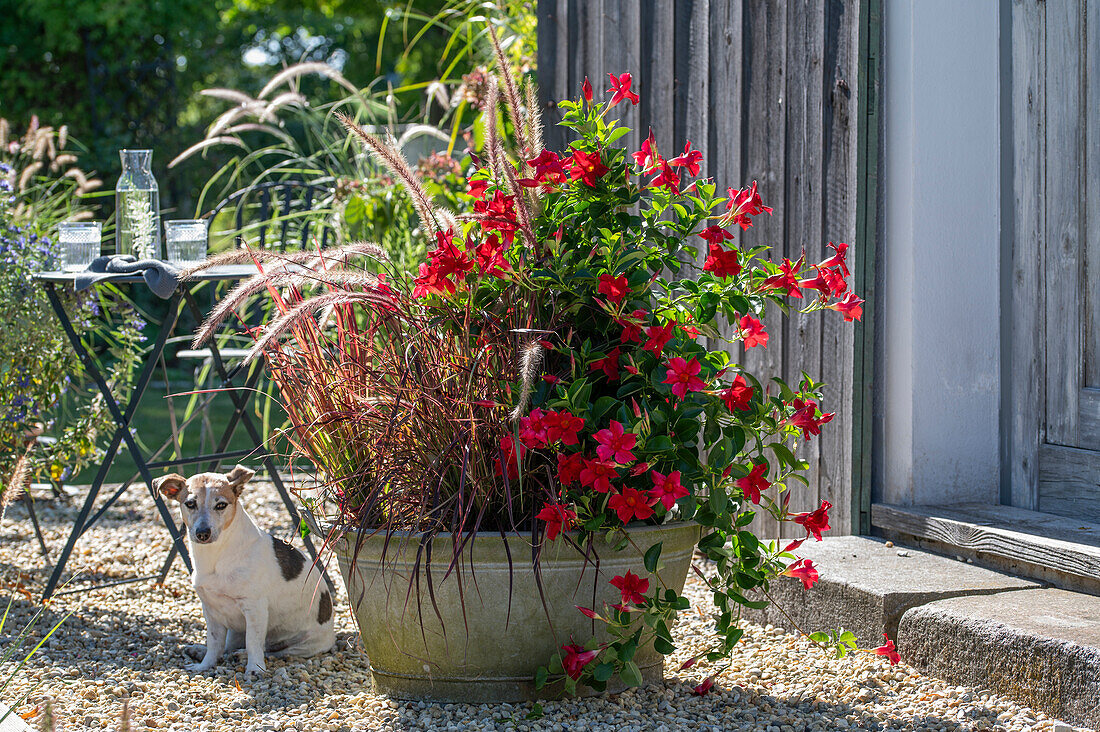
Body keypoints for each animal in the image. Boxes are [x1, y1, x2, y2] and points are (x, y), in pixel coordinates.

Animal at [154, 464, 334, 678]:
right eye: (190, 503)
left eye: (221, 505)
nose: (202, 533)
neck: (216, 557)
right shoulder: (211, 611)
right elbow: (214, 643)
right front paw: (205, 665)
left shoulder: (254, 608)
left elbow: (253, 642)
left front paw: (254, 668)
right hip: (233, 630)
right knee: (228, 646)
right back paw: (199, 651)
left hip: (305, 643)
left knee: (273, 651)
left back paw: (245, 656)